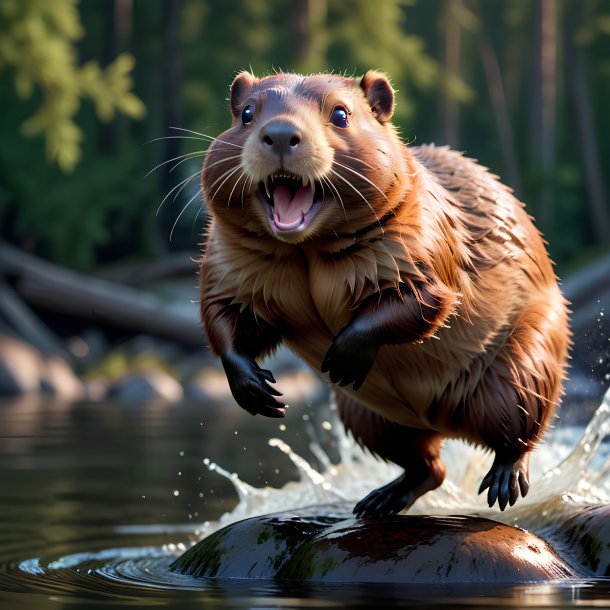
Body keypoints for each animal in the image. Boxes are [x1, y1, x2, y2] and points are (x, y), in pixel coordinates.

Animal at [197, 71, 568, 516]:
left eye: (341, 113)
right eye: (247, 114)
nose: (282, 134)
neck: (307, 251)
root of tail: (448, 425)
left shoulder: (423, 235)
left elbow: (425, 299)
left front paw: (342, 357)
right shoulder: (228, 257)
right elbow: (223, 313)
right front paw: (258, 390)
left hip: (524, 358)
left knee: (520, 425)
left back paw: (504, 482)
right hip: (366, 416)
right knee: (427, 464)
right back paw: (380, 500)